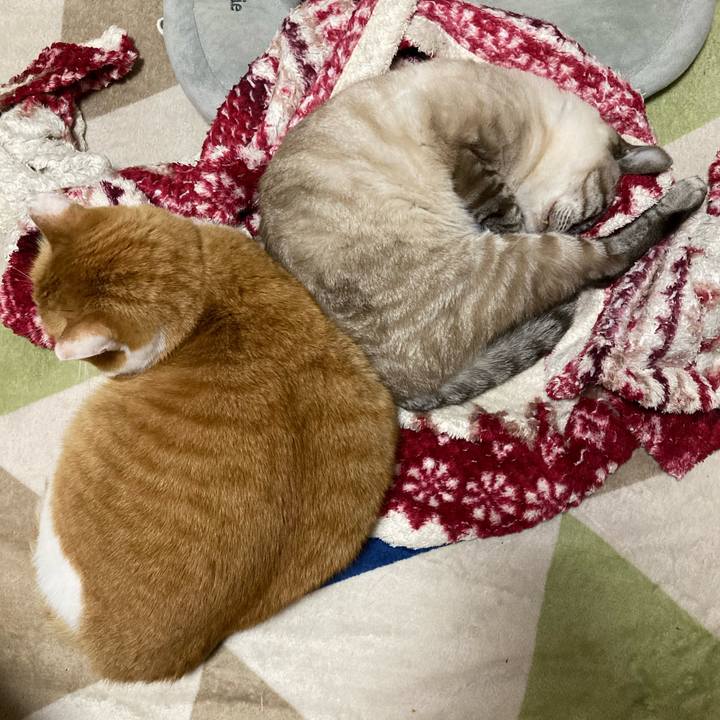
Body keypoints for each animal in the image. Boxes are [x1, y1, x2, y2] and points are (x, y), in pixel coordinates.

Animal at [259, 58, 707, 411]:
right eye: (595, 211)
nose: (581, 228)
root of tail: (396, 389)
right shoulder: (470, 155)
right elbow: (501, 203)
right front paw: (511, 216)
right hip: (520, 255)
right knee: (607, 261)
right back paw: (691, 191)